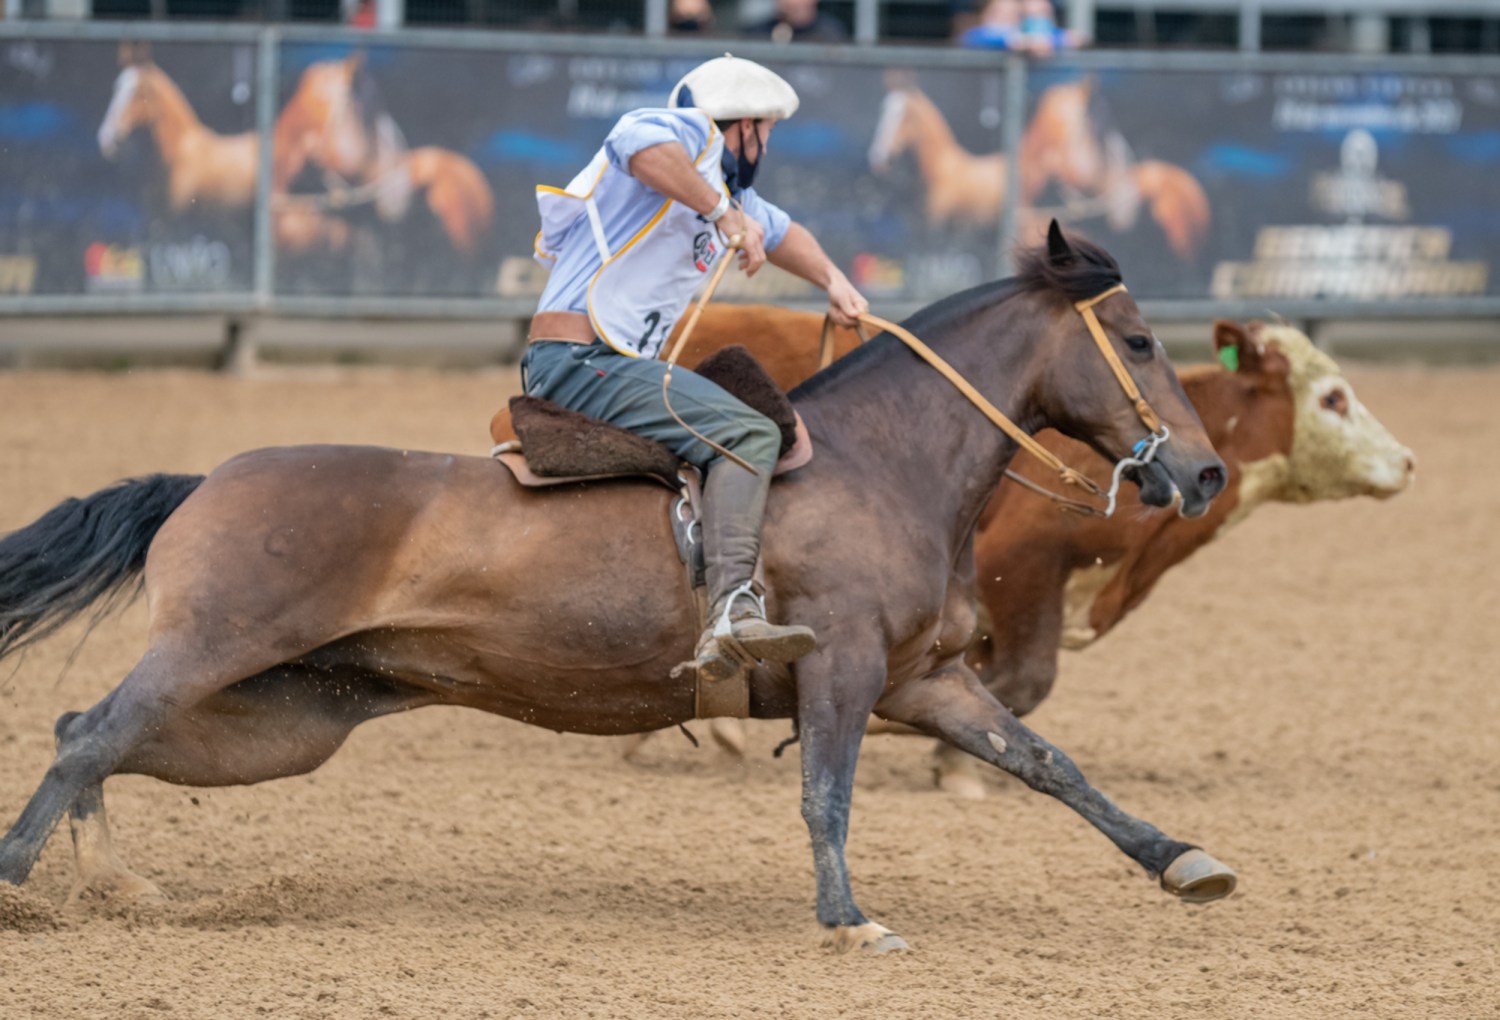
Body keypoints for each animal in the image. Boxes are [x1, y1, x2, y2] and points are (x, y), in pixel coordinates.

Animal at [0, 226, 1230, 954]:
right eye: (1138, 339)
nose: (1208, 470)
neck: (885, 461)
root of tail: (206, 480)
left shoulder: (922, 681)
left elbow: (1049, 765)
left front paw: (1185, 862)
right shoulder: (840, 668)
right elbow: (825, 794)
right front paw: (846, 920)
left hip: (289, 713)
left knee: (84, 734)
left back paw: (119, 887)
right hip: (212, 655)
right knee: (88, 734)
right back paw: (20, 884)